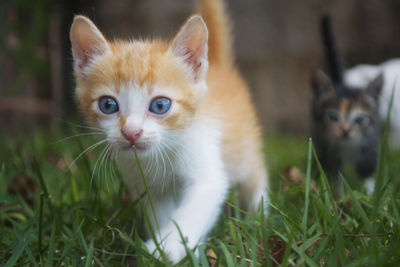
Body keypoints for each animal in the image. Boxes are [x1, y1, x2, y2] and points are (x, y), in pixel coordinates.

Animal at [69, 0, 268, 264]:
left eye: (160, 105)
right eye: (108, 105)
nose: (131, 132)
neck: (158, 154)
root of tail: (218, 66)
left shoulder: (207, 175)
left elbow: (193, 209)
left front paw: (169, 247)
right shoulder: (147, 187)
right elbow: (160, 214)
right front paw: (170, 246)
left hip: (243, 149)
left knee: (255, 176)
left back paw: (260, 216)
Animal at [310, 15, 382, 194]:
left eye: (360, 120)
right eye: (333, 117)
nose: (346, 130)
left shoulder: (371, 145)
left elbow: (367, 171)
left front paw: (370, 194)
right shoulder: (329, 151)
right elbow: (334, 175)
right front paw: (336, 195)